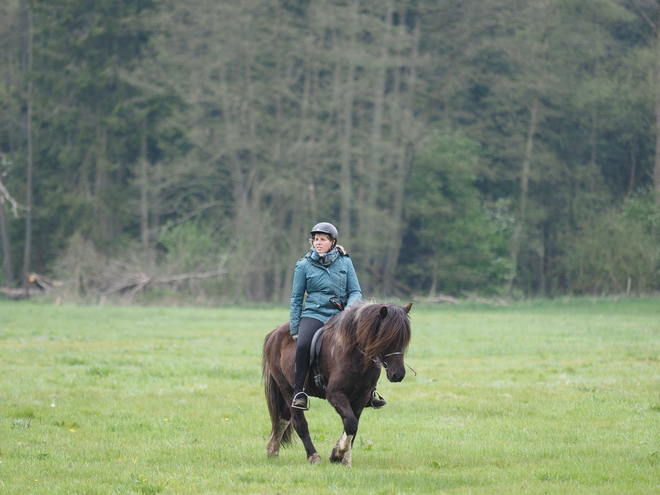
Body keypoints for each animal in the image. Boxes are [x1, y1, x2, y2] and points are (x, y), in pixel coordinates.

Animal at [260, 300, 410, 466]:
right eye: (387, 338)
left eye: (404, 339)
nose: (398, 374)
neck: (355, 353)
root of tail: (275, 333)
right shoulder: (335, 394)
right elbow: (351, 423)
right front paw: (337, 454)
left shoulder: (362, 397)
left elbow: (352, 425)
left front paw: (345, 459)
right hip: (287, 389)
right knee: (299, 422)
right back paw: (313, 456)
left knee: (283, 418)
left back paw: (273, 450)